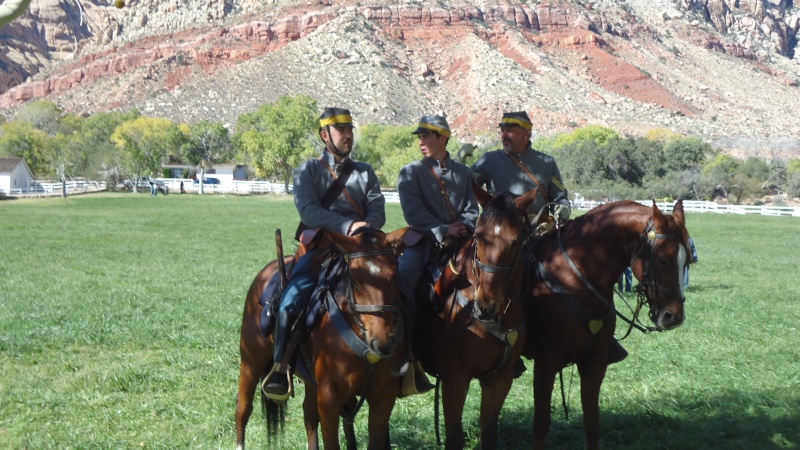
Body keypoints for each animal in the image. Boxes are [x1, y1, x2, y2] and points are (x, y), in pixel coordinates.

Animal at [231, 229, 406, 450]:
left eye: (394, 276)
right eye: (356, 279)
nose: (382, 341)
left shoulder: (384, 395)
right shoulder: (329, 394)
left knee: (309, 415)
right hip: (251, 360)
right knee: (243, 407)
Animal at [416, 185, 540, 448]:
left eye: (515, 241)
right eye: (478, 238)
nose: (485, 305)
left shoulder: (499, 379)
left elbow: (489, 432)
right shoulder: (455, 379)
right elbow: (454, 437)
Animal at [524, 201, 688, 450]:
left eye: (687, 260)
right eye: (662, 259)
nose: (674, 316)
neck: (573, 278)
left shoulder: (595, 360)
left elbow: (592, 422)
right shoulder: (546, 362)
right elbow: (541, 423)